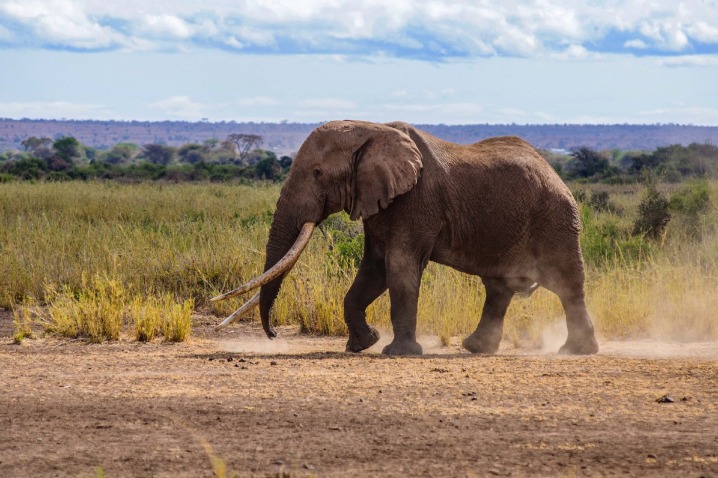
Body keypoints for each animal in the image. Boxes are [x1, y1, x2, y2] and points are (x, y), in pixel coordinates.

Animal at [214, 120, 600, 354]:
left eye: (319, 173)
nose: (274, 335)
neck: (370, 130)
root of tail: (555, 173)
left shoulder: (416, 201)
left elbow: (399, 268)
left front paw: (396, 353)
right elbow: (374, 270)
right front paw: (363, 345)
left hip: (556, 219)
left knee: (567, 284)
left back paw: (575, 351)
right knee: (499, 287)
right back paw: (476, 348)